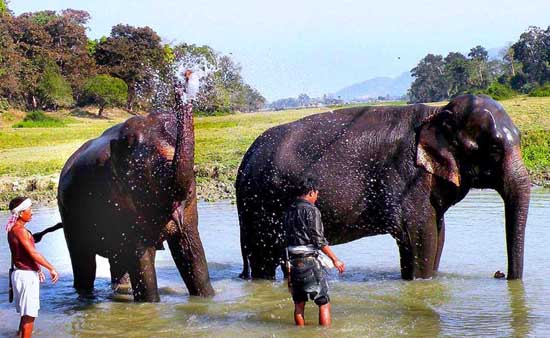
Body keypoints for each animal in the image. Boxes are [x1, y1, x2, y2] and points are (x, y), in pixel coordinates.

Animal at [58, 74, 216, 302]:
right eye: (144, 173)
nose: (183, 79)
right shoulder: (119, 198)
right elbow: (141, 258)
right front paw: (150, 304)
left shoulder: (190, 203)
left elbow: (191, 252)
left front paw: (208, 299)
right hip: (69, 216)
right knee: (84, 262)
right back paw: (86, 296)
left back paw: (120, 290)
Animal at [237, 94, 532, 280]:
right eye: (493, 149)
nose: (501, 275)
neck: (436, 113)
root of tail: (245, 160)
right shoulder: (406, 178)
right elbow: (422, 237)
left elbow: (439, 233)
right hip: (260, 207)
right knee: (263, 259)